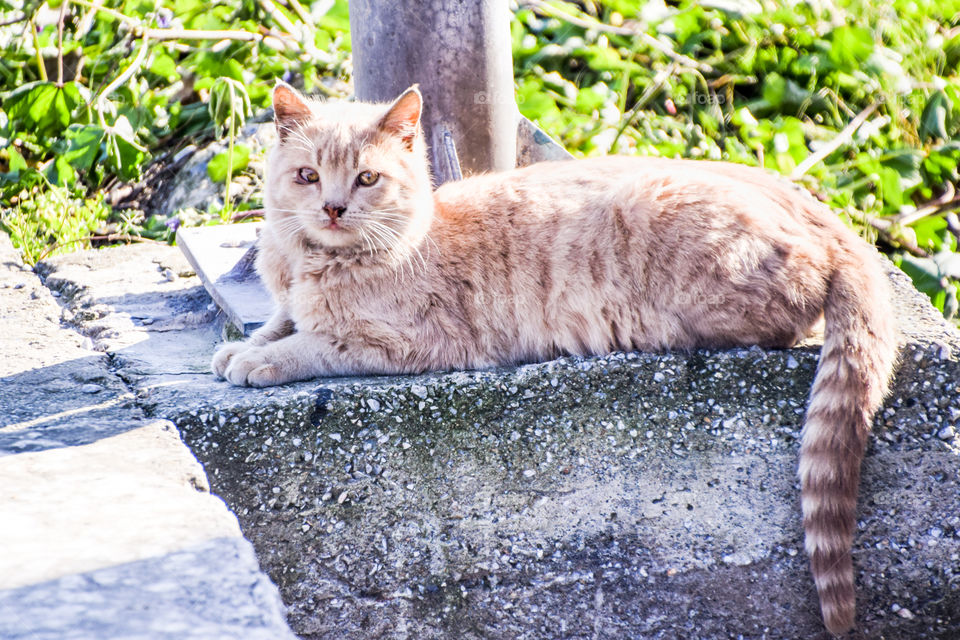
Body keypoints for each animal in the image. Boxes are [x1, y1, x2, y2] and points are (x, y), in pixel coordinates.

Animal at [212, 81, 900, 636]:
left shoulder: (412, 342)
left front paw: (262, 359)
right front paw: (244, 344)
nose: (333, 207)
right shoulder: (295, 297)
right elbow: (279, 319)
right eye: (308, 176)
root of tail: (825, 217)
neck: (314, 264)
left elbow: (315, 340)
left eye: (366, 179)